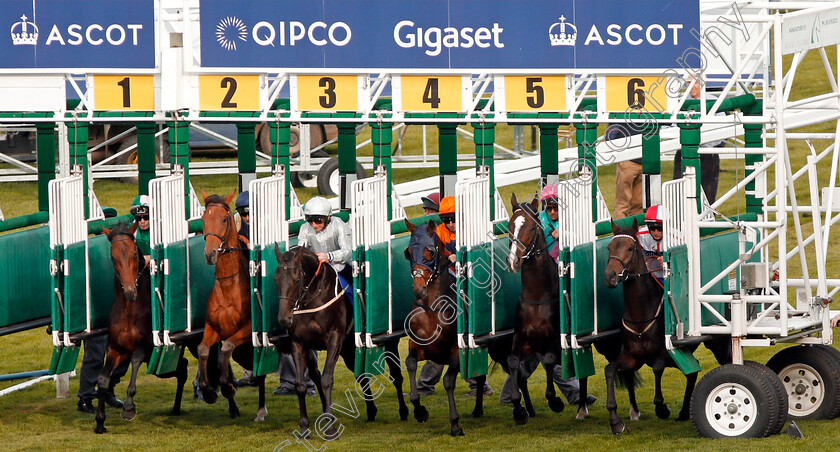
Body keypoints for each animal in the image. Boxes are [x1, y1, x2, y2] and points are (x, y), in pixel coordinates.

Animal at [94, 226, 189, 434]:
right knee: (182, 368)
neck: (130, 311)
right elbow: (103, 380)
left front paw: (129, 408)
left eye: (134, 254)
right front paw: (100, 422)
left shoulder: (147, 347)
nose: (130, 291)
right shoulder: (117, 349)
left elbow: (136, 360)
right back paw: (176, 408)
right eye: (113, 257)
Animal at [197, 190, 266, 420]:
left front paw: (227, 387)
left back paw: (261, 410)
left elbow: (227, 347)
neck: (228, 284)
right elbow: (203, 350)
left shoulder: (246, 330)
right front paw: (209, 391)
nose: (210, 253)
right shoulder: (213, 328)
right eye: (203, 219)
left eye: (224, 219)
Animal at [274, 244, 408, 438]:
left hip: (388, 343)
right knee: (362, 377)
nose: (284, 319)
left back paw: (409, 411)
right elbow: (300, 384)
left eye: (297, 279)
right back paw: (371, 411)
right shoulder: (298, 343)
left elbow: (326, 379)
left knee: (396, 376)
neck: (314, 297)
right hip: (349, 351)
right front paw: (304, 427)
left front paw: (330, 427)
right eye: (276, 278)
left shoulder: (334, 339)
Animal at [400, 221, 532, 436]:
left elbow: (448, 381)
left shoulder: (457, 351)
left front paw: (455, 424)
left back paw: (524, 410)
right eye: (409, 252)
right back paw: (479, 410)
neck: (433, 309)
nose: (418, 289)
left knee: (517, 371)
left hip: (499, 348)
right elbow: (410, 364)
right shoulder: (419, 348)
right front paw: (420, 411)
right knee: (483, 376)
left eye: (430, 251)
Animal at [506, 196, 572, 426]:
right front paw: (518, 409)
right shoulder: (523, 341)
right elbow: (513, 362)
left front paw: (556, 401)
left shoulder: (554, 342)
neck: (536, 298)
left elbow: (551, 361)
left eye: (532, 228)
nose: (513, 261)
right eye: (510, 226)